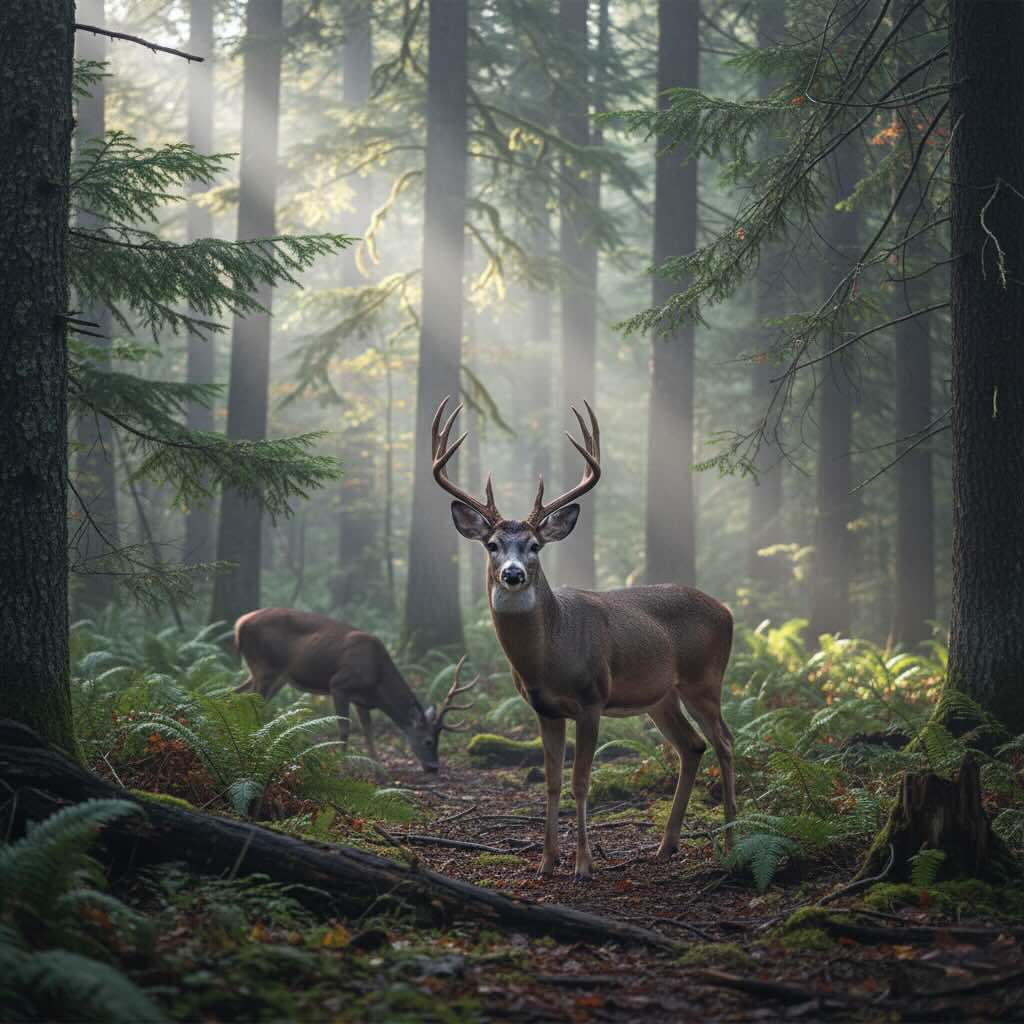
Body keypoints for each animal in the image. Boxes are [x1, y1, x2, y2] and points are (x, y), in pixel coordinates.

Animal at [232, 608, 477, 773]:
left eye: (439, 740)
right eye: (428, 741)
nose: (434, 767)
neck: (377, 678)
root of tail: (240, 624)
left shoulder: (362, 700)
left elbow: (368, 732)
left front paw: (381, 773)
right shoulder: (339, 684)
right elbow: (344, 729)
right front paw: (343, 768)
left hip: (268, 674)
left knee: (235, 693)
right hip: (265, 668)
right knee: (251, 701)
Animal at [430, 397, 736, 879]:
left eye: (535, 546)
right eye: (492, 544)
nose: (513, 574)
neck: (550, 655)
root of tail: (726, 611)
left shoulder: (592, 698)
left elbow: (580, 781)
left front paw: (584, 864)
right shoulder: (544, 709)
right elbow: (552, 782)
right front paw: (546, 861)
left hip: (704, 680)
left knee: (725, 742)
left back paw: (731, 839)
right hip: (661, 696)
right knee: (693, 746)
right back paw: (666, 845)